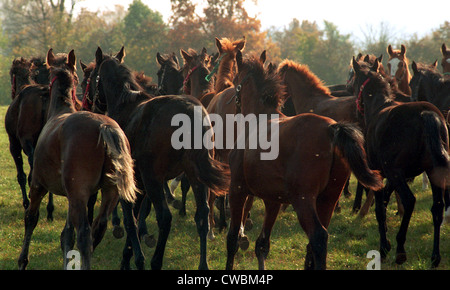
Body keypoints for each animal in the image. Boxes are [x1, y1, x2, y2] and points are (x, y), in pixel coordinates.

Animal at [17, 49, 137, 270]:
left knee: (85, 234)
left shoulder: (38, 185)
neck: (60, 111)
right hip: (108, 192)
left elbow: (31, 218)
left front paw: (23, 260)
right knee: (98, 228)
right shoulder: (72, 197)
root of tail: (104, 127)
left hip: (79, 194)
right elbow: (67, 235)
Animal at [225, 51, 384, 270]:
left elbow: (232, 239)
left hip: (303, 200)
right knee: (316, 241)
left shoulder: (237, 189)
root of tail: (332, 129)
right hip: (328, 199)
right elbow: (262, 245)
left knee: (318, 236)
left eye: (235, 80)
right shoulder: (273, 200)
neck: (259, 118)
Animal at [352, 56, 450, 268]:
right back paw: (435, 256)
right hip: (433, 171)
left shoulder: (383, 173)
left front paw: (384, 246)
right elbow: (385, 200)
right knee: (437, 207)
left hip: (398, 173)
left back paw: (400, 249)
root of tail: (426, 114)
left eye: (353, 81)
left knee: (410, 200)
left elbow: (380, 208)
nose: (356, 108)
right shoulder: (394, 177)